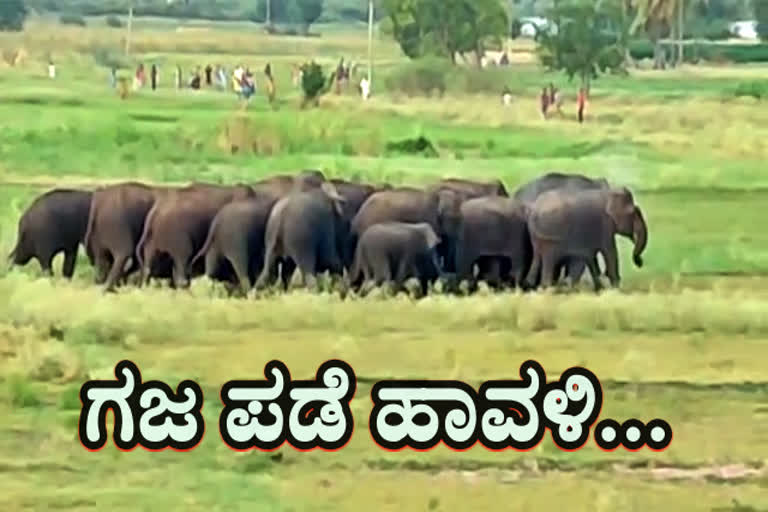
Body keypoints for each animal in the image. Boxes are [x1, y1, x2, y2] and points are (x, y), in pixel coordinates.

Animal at [520, 187, 648, 292]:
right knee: (550, 258)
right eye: (633, 213)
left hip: (537, 235)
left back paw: (531, 285)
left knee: (538, 256)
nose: (639, 262)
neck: (609, 193)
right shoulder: (605, 224)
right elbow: (609, 252)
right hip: (550, 234)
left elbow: (590, 256)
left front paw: (600, 289)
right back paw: (548, 288)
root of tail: (534, 210)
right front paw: (616, 289)